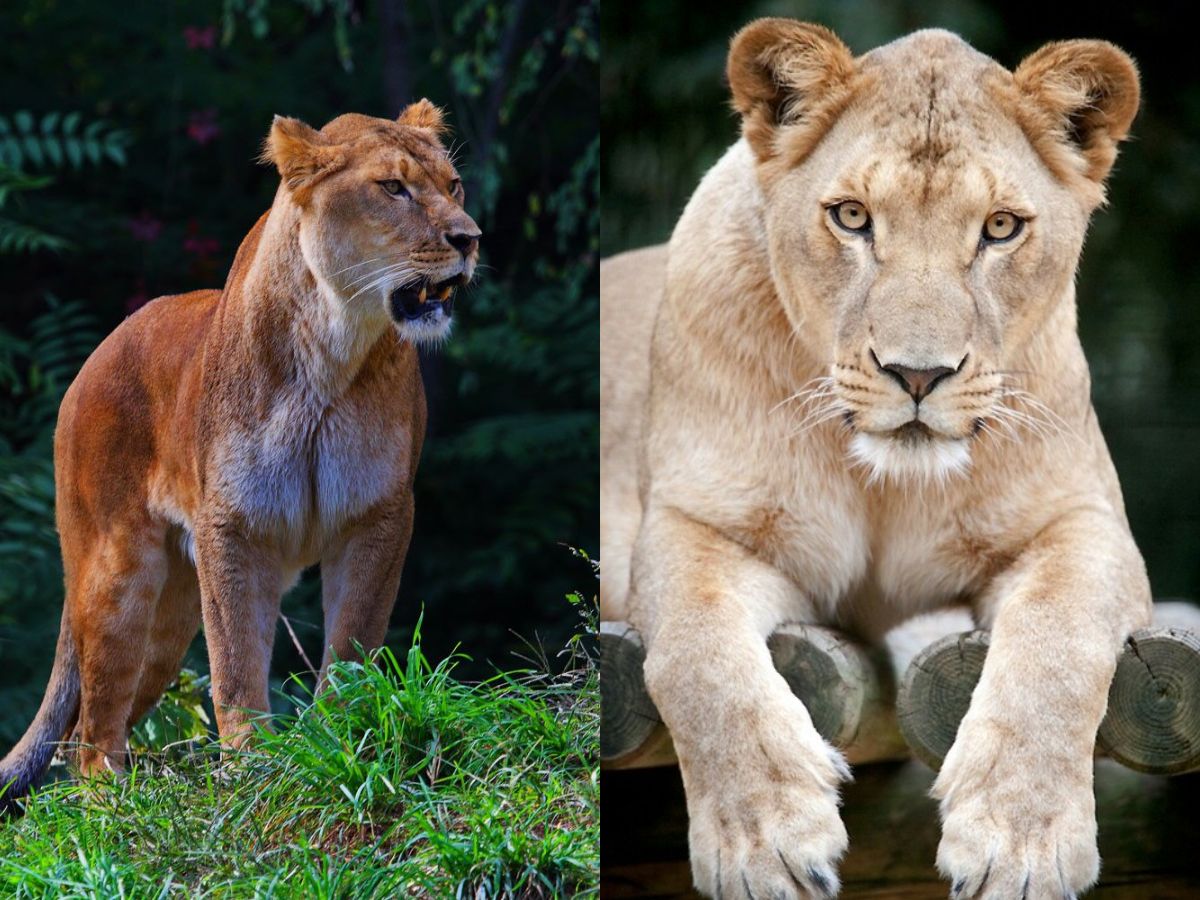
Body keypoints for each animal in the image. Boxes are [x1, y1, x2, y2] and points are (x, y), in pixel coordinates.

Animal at [0, 101, 480, 810]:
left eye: (454, 186)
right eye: (393, 188)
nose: (470, 239)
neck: (332, 348)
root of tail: (91, 360)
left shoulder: (378, 515)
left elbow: (352, 642)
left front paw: (339, 737)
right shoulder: (232, 525)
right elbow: (235, 661)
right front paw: (251, 763)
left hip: (170, 620)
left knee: (97, 714)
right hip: (116, 572)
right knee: (91, 726)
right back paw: (112, 799)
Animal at [601, 20, 1150, 900]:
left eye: (1001, 228)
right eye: (853, 217)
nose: (917, 374)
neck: (884, 483)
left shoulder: (1082, 521)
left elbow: (1058, 643)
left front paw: (1018, 842)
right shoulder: (695, 524)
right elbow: (697, 654)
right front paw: (765, 843)